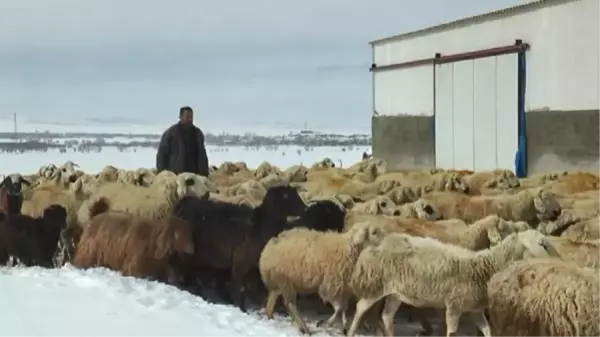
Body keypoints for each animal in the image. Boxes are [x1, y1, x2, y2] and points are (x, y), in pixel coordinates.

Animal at [344, 228, 560, 336]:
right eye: (542, 244)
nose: (560, 261)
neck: (484, 267)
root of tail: (381, 241)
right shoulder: (454, 306)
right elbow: (452, 333)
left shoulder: (474, 309)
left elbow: (487, 330)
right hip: (377, 285)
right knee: (361, 307)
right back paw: (351, 333)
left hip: (396, 293)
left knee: (387, 316)